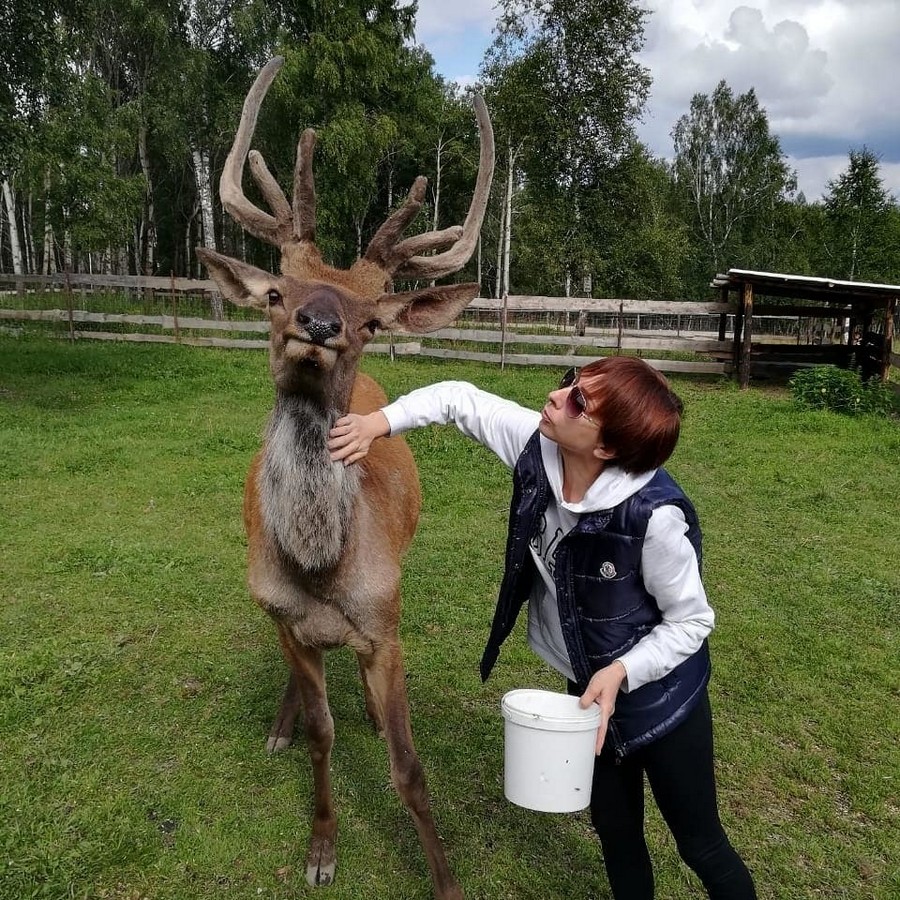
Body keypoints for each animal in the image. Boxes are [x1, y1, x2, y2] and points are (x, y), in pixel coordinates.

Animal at [196, 58, 496, 900]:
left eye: (370, 320)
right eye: (275, 294)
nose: (321, 325)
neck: (323, 571)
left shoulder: (387, 624)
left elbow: (409, 767)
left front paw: (446, 878)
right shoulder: (285, 617)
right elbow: (323, 738)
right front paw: (322, 847)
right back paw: (281, 724)